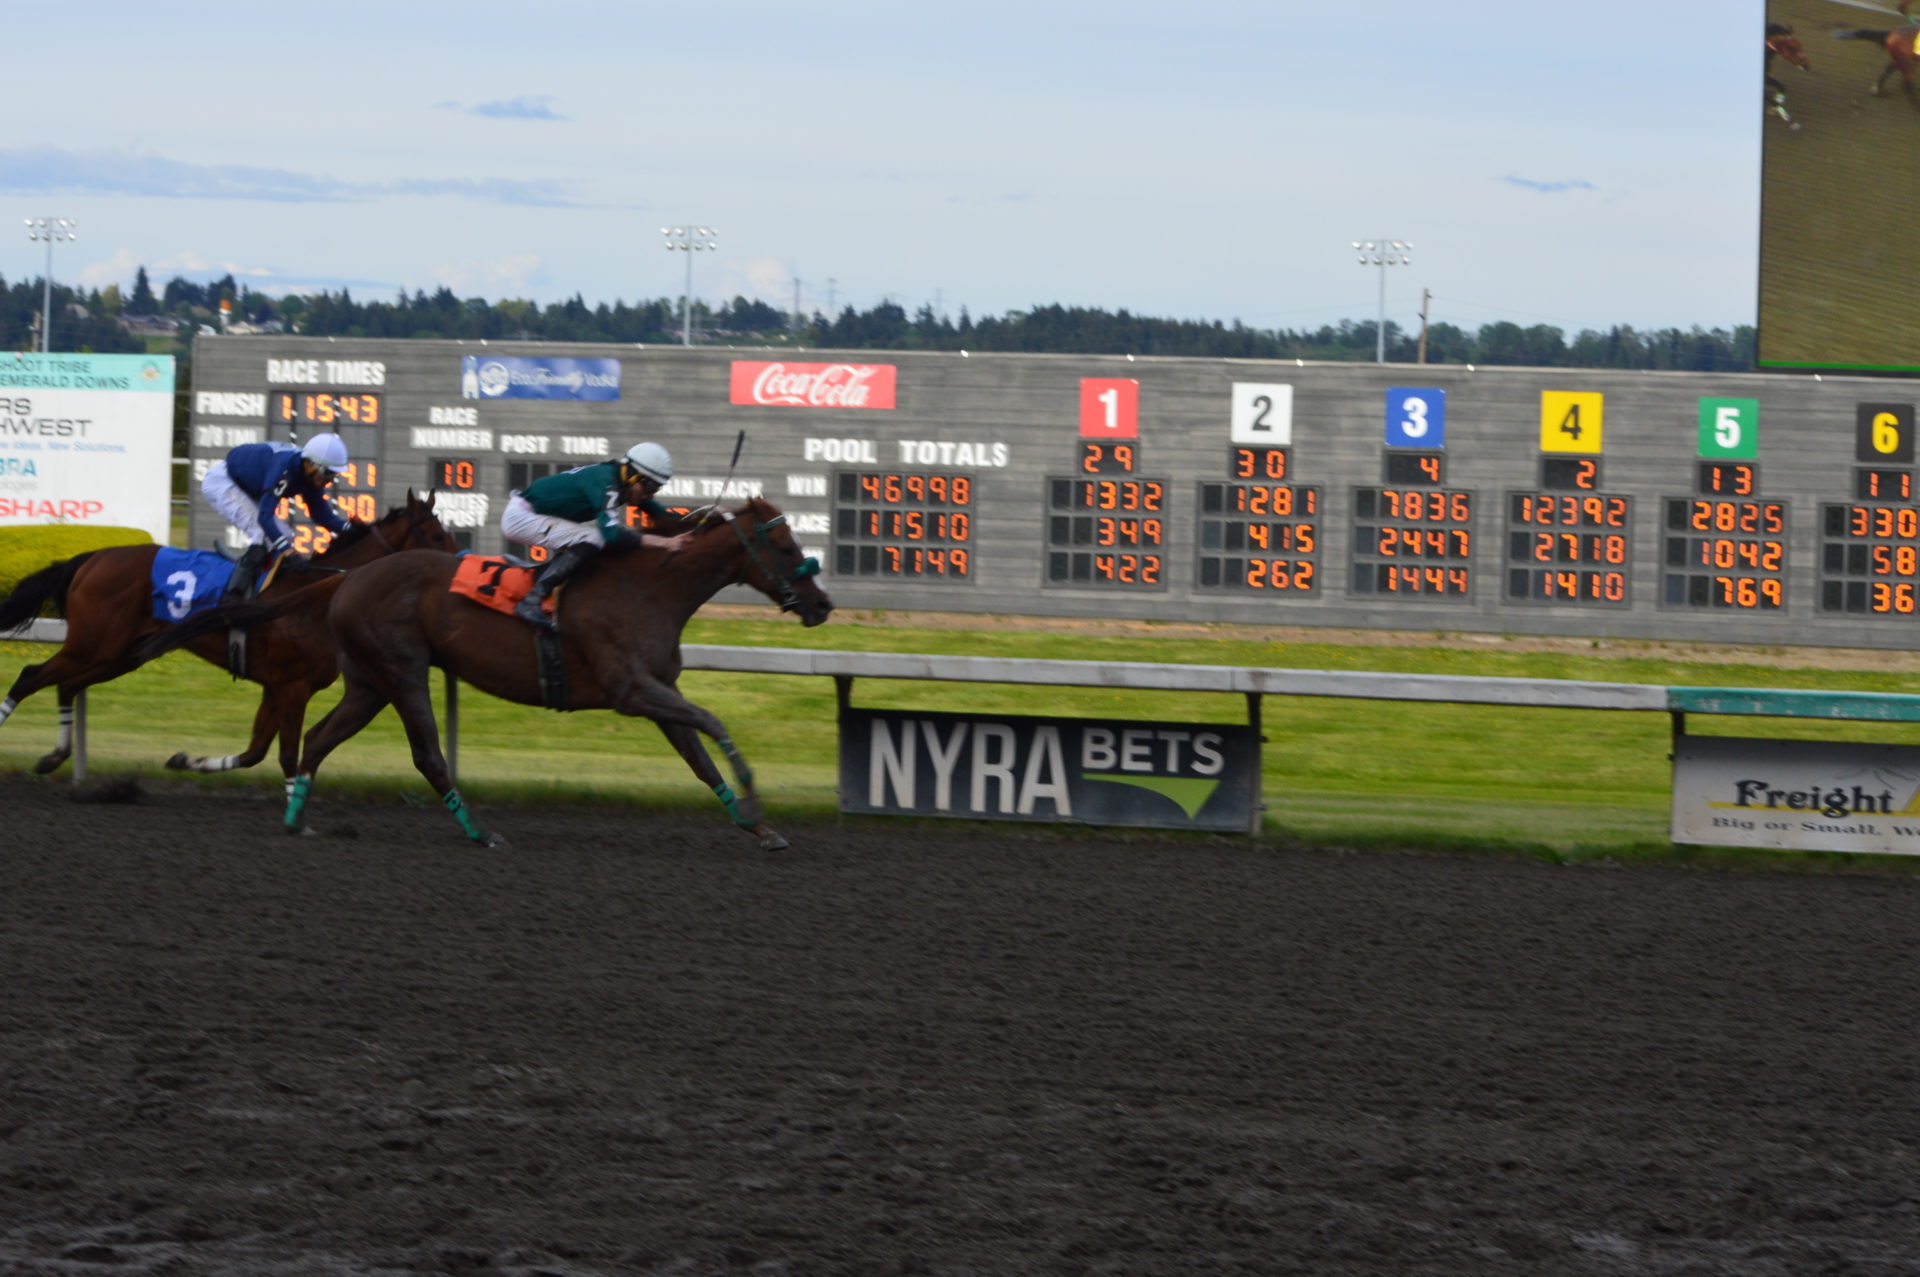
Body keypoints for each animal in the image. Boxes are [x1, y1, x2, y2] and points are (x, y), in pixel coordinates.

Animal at [0, 491, 459, 780]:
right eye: (438, 535)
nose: (457, 572)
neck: (316, 593)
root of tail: (92, 558)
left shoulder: (277, 686)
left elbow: (256, 751)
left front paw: (187, 760)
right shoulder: (293, 684)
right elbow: (287, 755)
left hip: (117, 655)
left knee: (65, 686)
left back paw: (54, 756)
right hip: (93, 646)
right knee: (31, 676)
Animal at [137, 497, 833, 850]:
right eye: (787, 546)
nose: (822, 605)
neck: (650, 589)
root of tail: (346, 577)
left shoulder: (658, 691)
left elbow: (698, 755)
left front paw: (755, 823)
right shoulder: (633, 690)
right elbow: (715, 726)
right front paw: (756, 797)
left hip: (368, 682)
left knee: (316, 739)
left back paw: (295, 819)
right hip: (404, 671)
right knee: (426, 754)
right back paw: (478, 830)